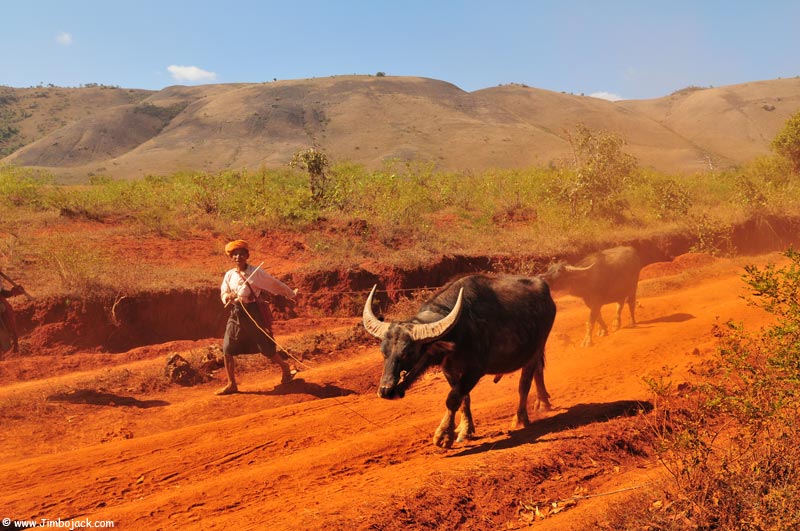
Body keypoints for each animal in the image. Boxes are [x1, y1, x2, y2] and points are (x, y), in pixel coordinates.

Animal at [362, 274, 556, 448]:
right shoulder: (450, 370)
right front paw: (465, 429)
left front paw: (443, 436)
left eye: (409, 352)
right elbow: (464, 398)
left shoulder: (475, 370)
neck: (460, 331)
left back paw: (521, 418)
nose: (386, 390)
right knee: (538, 371)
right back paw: (543, 403)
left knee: (524, 383)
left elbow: (453, 398)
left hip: (537, 348)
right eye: (383, 352)